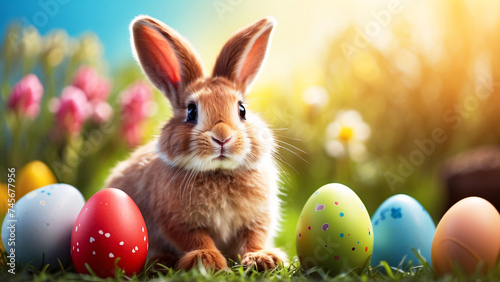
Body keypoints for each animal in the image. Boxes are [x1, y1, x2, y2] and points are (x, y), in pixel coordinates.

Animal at [105, 16, 286, 270]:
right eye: (191, 112)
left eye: (242, 110)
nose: (222, 137)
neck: (219, 173)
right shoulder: (176, 221)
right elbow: (196, 238)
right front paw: (207, 260)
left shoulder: (258, 217)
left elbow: (254, 237)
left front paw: (262, 258)